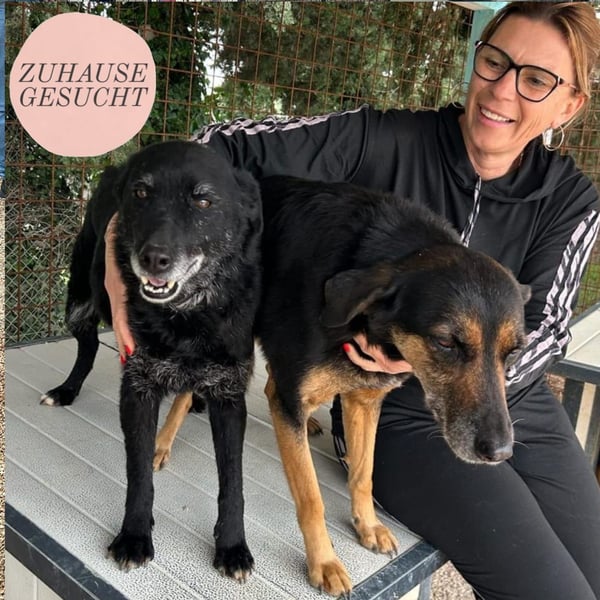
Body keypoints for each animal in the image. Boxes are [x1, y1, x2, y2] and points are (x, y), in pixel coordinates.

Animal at [41, 141, 262, 582]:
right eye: (141, 193)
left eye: (203, 200)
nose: (154, 258)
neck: (187, 319)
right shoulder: (139, 388)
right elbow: (138, 473)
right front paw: (134, 536)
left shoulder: (230, 397)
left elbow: (233, 482)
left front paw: (232, 545)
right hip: (79, 300)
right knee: (87, 347)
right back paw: (66, 390)